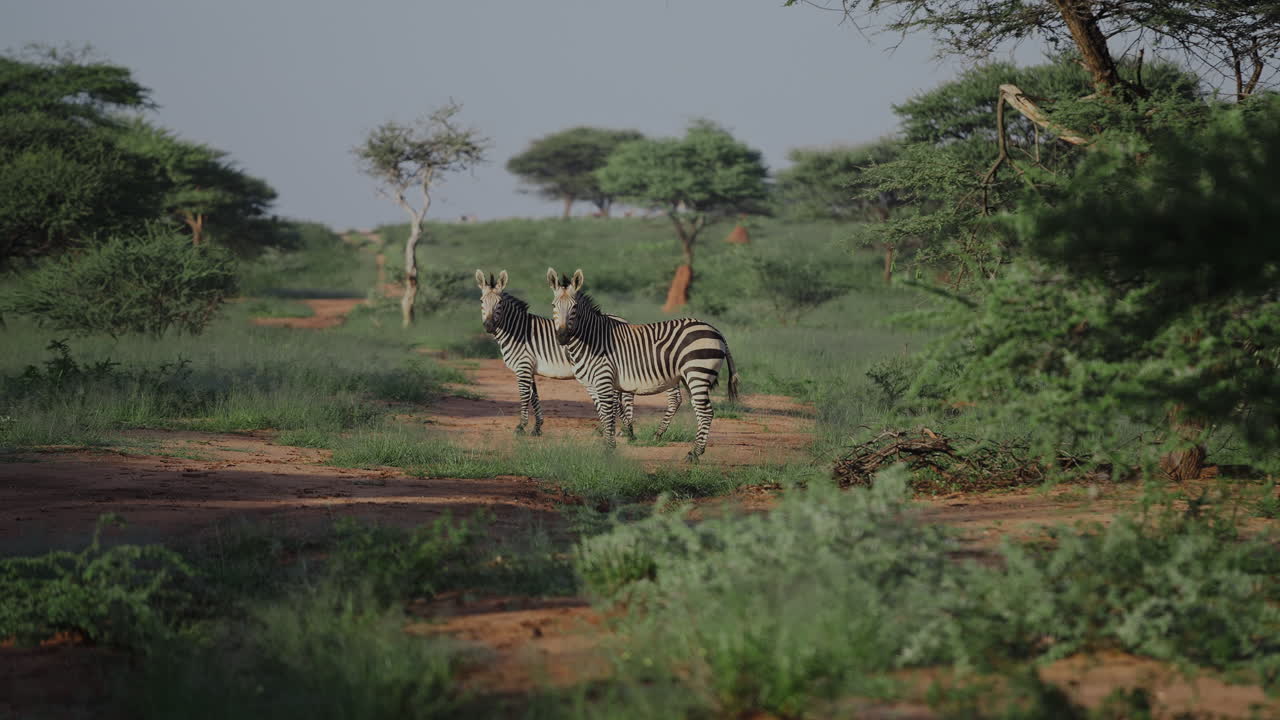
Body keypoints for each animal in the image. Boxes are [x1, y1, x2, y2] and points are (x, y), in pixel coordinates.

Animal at [476, 270, 675, 438]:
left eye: (500, 303)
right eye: (481, 301)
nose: (489, 326)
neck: (518, 331)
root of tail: (624, 321)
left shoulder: (523, 366)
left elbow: (524, 396)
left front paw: (521, 427)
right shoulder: (530, 369)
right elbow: (534, 396)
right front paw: (537, 428)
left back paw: (625, 430)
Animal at [546, 268, 740, 461]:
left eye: (574, 307)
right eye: (553, 306)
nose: (562, 337)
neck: (591, 339)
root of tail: (716, 330)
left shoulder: (604, 379)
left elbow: (608, 414)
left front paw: (609, 450)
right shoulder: (591, 385)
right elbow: (602, 413)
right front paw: (608, 445)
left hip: (698, 372)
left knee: (706, 412)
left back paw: (694, 454)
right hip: (689, 377)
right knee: (698, 410)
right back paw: (690, 449)